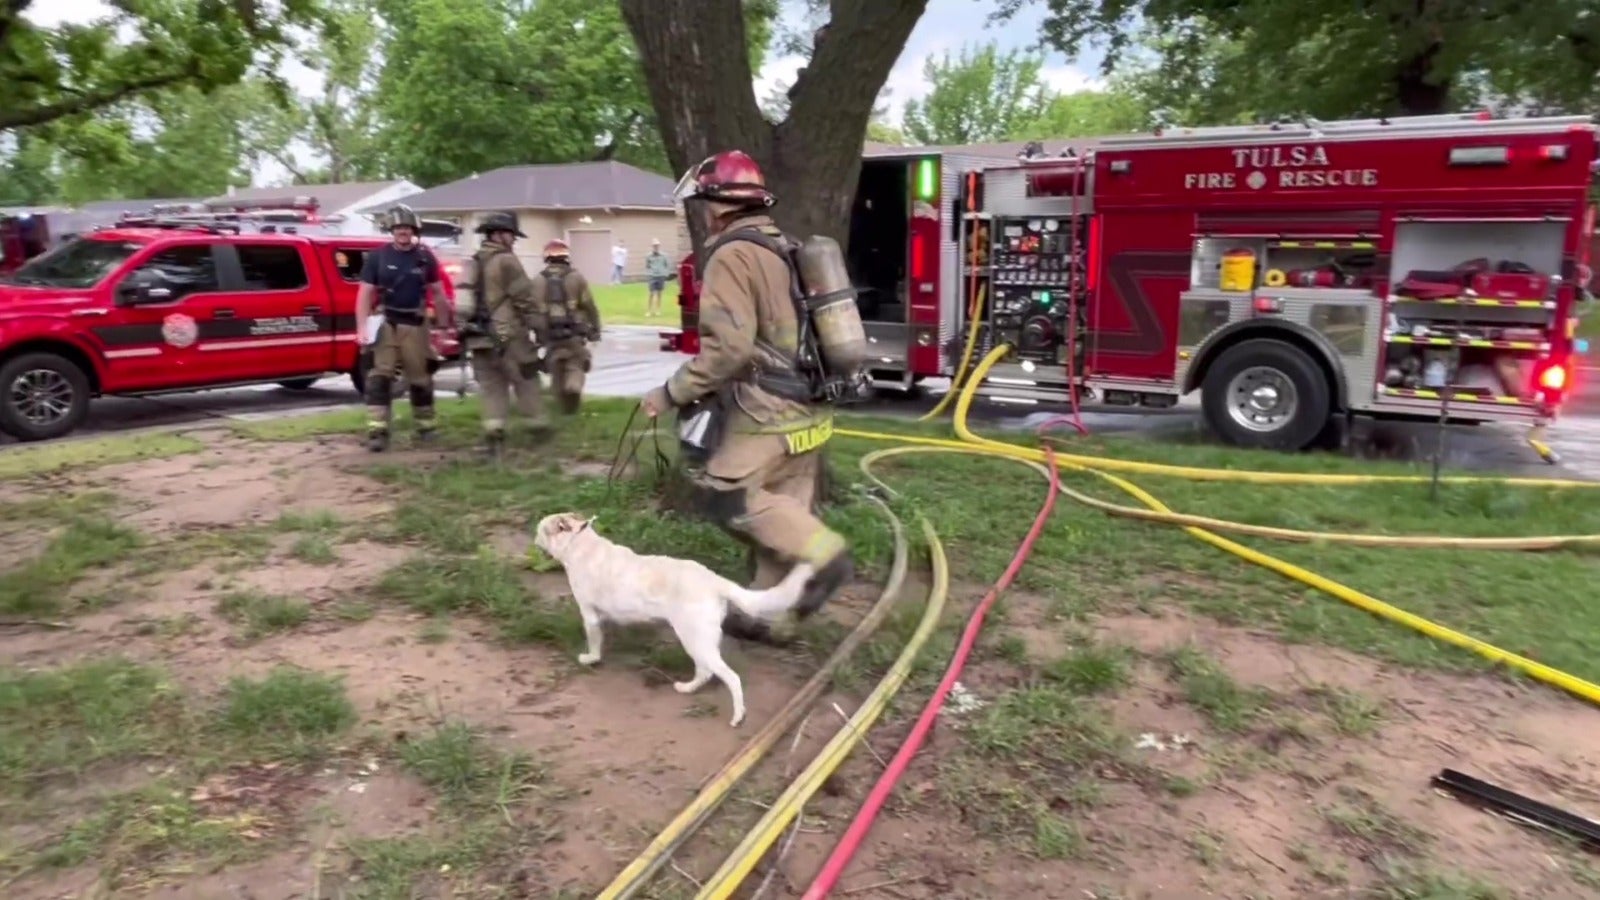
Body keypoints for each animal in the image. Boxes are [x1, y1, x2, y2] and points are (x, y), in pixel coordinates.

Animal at [534, 509, 812, 723]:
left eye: (541, 531)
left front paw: (590, 659)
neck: (581, 545)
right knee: (705, 672)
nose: (534, 538)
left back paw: (737, 717)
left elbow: (593, 643)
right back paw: (687, 689)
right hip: (700, 642)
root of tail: (715, 579)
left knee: (729, 676)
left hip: (695, 640)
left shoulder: (589, 614)